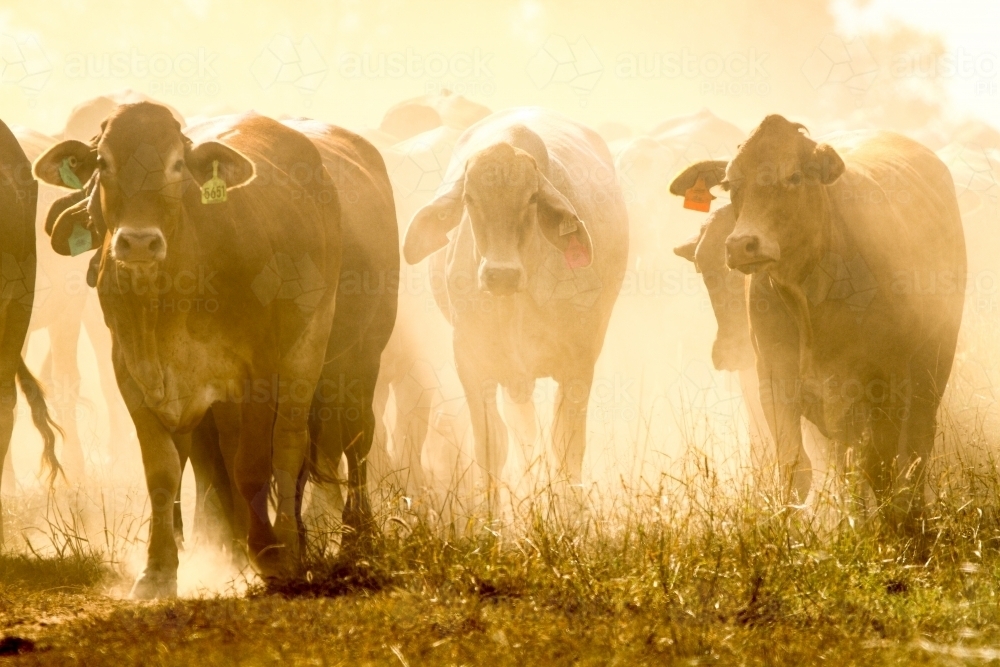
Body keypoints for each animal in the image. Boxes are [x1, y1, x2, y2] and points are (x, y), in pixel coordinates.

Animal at [34, 103, 343, 597]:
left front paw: (271, 557)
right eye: (103, 162)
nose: (139, 242)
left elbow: (253, 466)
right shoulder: (134, 376)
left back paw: (286, 545)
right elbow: (163, 473)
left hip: (308, 345)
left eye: (176, 164)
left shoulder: (260, 371)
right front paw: (159, 570)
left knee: (287, 446)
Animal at [402, 108, 628, 508]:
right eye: (470, 198)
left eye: (532, 198)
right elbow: (491, 448)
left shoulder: (579, 365)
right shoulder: (472, 364)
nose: (501, 275)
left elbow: (567, 449)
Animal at [674, 115, 966, 526]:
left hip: (932, 362)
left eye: (794, 177)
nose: (742, 244)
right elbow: (795, 468)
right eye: (731, 183)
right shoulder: (774, 381)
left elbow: (879, 466)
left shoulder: (885, 380)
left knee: (917, 444)